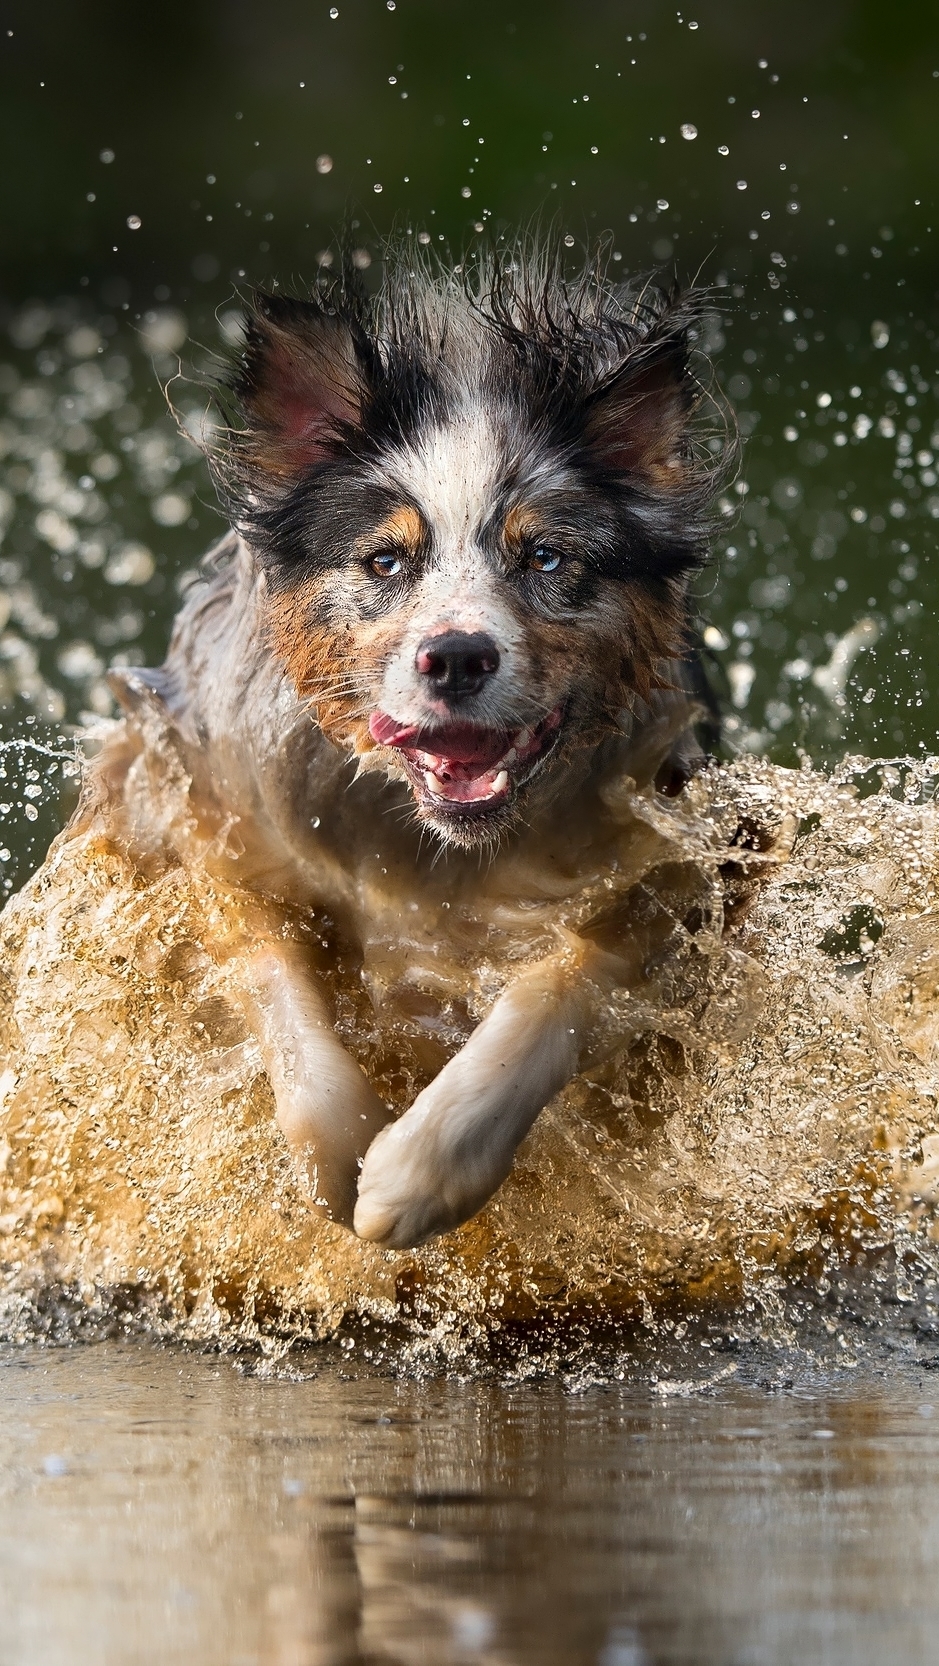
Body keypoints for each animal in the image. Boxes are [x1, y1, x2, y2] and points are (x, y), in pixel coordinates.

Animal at [99, 243, 735, 1252]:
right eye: (384, 560)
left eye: (546, 558)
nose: (458, 655)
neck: (430, 841)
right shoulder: (207, 807)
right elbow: (273, 975)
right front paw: (339, 1160)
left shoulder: (671, 849)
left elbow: (561, 986)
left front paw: (415, 1173)